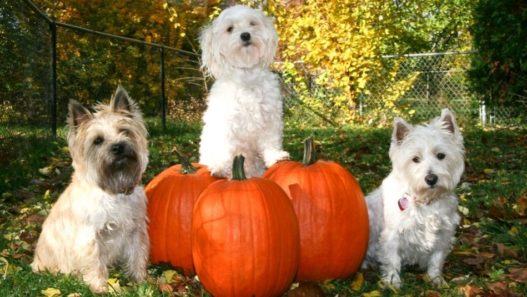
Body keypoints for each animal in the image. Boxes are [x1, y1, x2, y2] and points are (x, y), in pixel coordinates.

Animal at [198, 4, 288, 177]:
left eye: (252, 23)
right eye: (230, 29)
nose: (245, 35)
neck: (247, 76)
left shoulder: (270, 119)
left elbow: (271, 141)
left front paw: (275, 156)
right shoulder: (226, 123)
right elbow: (226, 149)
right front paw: (221, 167)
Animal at [364, 108, 466, 286]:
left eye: (441, 155)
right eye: (415, 159)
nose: (431, 179)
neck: (426, 200)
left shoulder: (443, 234)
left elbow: (436, 259)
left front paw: (436, 279)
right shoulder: (392, 234)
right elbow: (392, 259)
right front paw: (393, 281)